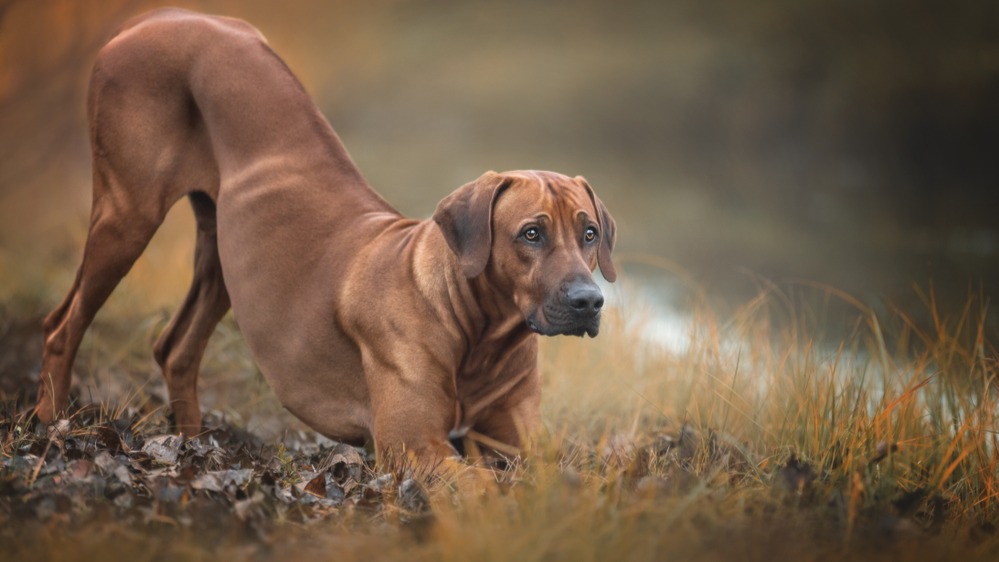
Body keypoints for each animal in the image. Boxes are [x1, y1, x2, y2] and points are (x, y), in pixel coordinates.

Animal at [35, 7, 612, 464]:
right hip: (127, 214)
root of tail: (158, 16)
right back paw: (50, 425)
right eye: (531, 233)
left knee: (176, 347)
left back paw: (191, 444)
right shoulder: (416, 447)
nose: (589, 301)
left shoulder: (518, 447)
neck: (479, 335)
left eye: (588, 233)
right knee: (62, 325)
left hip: (229, 256)